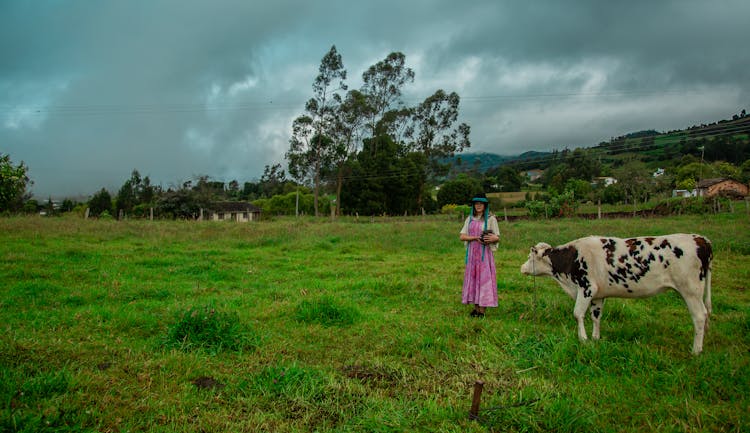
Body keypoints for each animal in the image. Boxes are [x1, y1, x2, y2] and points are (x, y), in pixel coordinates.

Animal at [520, 235, 712, 352]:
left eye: (530, 258)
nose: (522, 268)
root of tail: (700, 239)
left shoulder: (587, 288)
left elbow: (578, 314)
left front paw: (583, 339)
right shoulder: (598, 295)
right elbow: (596, 316)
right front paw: (595, 338)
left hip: (690, 290)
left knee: (699, 316)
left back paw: (696, 349)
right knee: (705, 315)